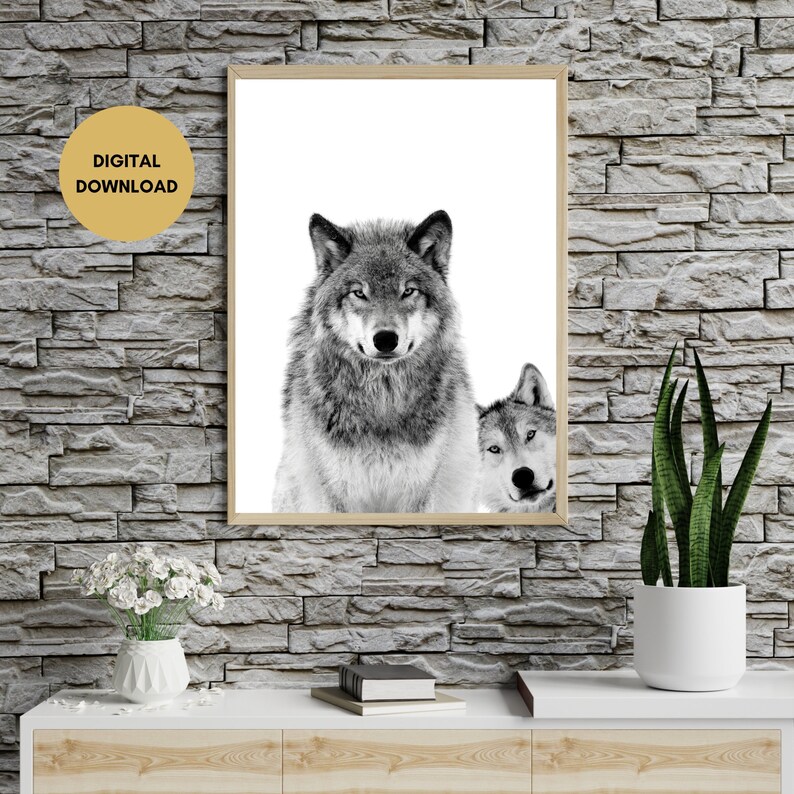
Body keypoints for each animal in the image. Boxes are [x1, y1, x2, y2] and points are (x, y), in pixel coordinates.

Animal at [273, 209, 479, 514]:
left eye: (408, 291)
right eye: (359, 293)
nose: (385, 339)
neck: (382, 401)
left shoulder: (419, 491)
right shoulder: (335, 492)